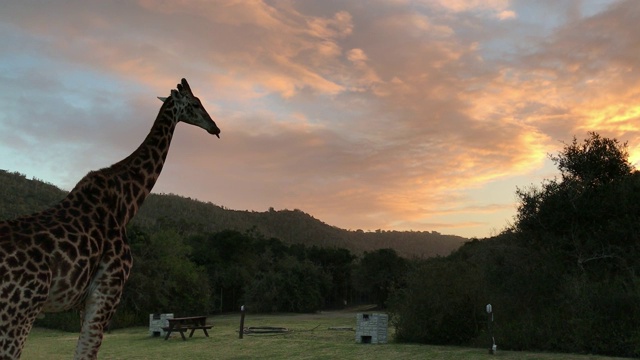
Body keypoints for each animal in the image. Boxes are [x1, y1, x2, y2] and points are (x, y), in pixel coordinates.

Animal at [0, 78, 220, 358]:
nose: (215, 128)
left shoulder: (88, 300)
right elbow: (88, 351)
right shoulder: (108, 290)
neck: (126, 204)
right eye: (195, 103)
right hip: (19, 313)